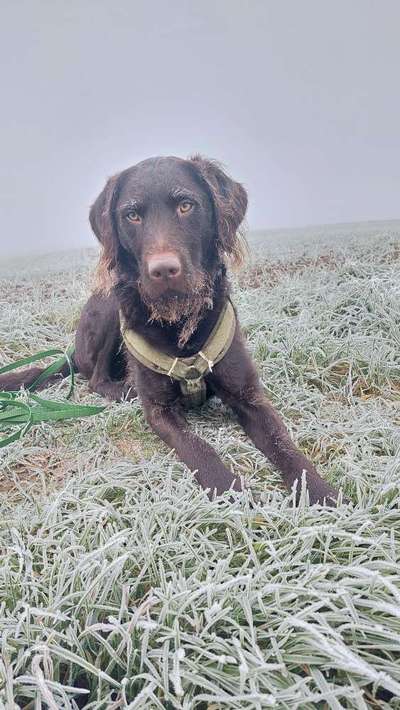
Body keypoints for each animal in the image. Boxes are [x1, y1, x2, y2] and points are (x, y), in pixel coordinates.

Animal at [1, 157, 340, 506]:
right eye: (132, 215)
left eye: (186, 205)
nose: (163, 270)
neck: (180, 326)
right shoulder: (159, 411)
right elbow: (197, 447)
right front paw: (228, 491)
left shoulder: (249, 397)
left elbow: (283, 443)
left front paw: (320, 492)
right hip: (110, 307)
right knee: (95, 378)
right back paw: (125, 389)